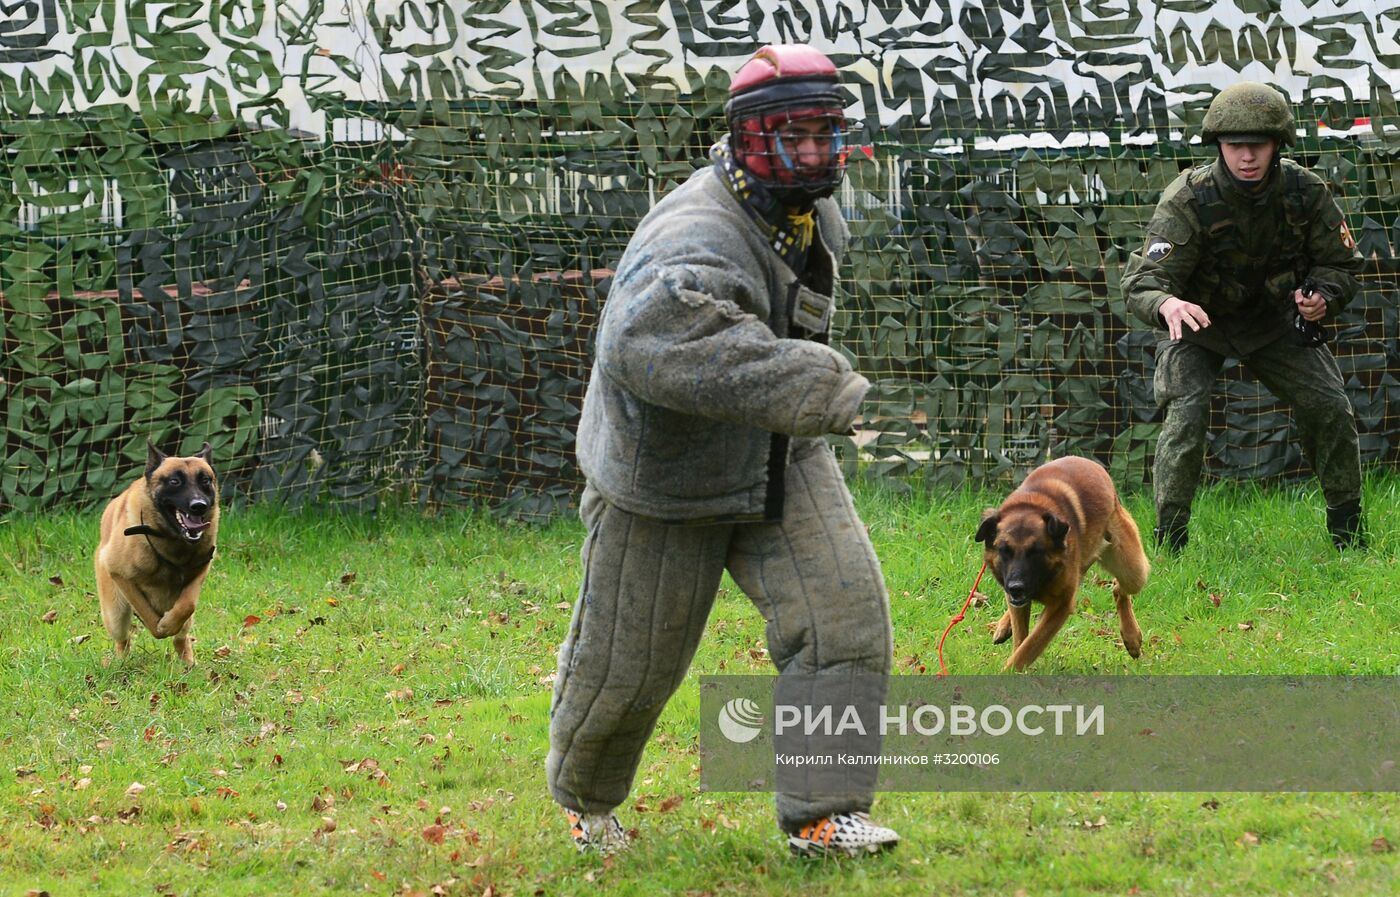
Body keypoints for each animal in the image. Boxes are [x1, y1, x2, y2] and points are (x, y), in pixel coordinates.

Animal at [97, 442, 218, 666]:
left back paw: (187, 662)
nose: (199, 506)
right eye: (174, 481)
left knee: (182, 636)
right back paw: (121, 663)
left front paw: (170, 623)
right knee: (122, 640)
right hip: (114, 614)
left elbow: (188, 604)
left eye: (205, 480)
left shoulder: (200, 571)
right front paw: (161, 627)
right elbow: (145, 611)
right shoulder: (119, 574)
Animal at [974, 458, 1148, 668]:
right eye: (1004, 550)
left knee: (1118, 587)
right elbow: (1021, 639)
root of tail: (1094, 465)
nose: (1016, 587)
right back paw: (1003, 625)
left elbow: (1028, 647)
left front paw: (1010, 670)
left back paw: (1132, 637)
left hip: (1133, 572)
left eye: (1036, 552)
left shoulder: (1061, 606)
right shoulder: (1020, 599)